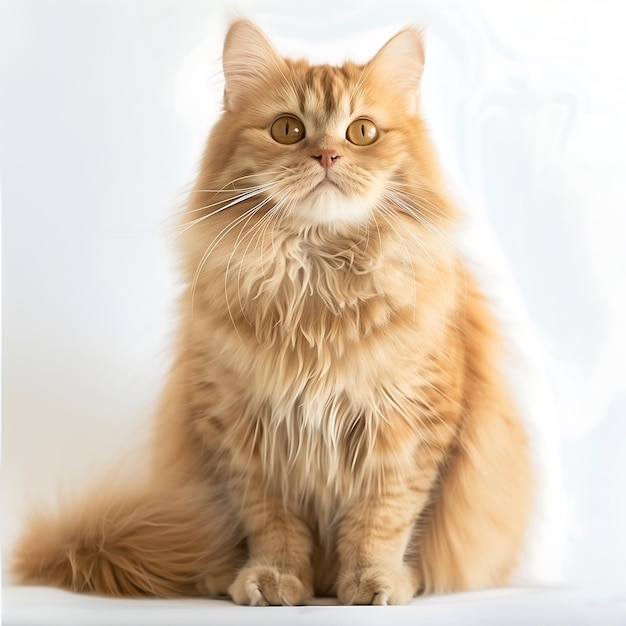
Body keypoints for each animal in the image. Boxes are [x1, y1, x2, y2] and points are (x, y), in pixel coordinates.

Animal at [11, 19, 532, 604]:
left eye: (362, 132)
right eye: (287, 129)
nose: (326, 156)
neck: (318, 278)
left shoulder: (411, 431)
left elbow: (381, 520)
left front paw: (372, 581)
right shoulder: (242, 436)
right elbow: (273, 525)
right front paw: (275, 580)